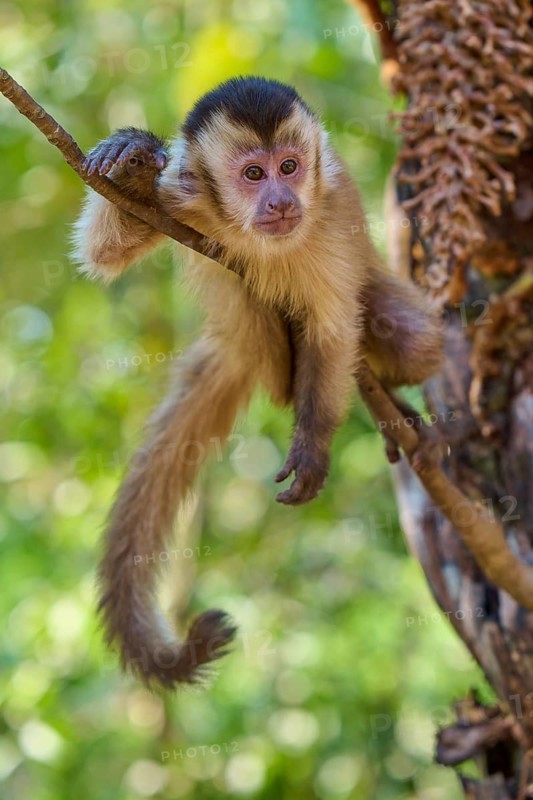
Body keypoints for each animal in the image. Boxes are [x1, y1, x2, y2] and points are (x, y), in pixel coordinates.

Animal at [71, 77, 442, 689]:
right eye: (253, 174)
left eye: (289, 166)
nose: (281, 200)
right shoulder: (182, 195)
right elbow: (104, 254)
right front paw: (130, 159)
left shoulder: (327, 219)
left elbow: (334, 330)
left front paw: (312, 446)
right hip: (242, 337)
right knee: (250, 309)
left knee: (413, 341)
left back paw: (395, 409)